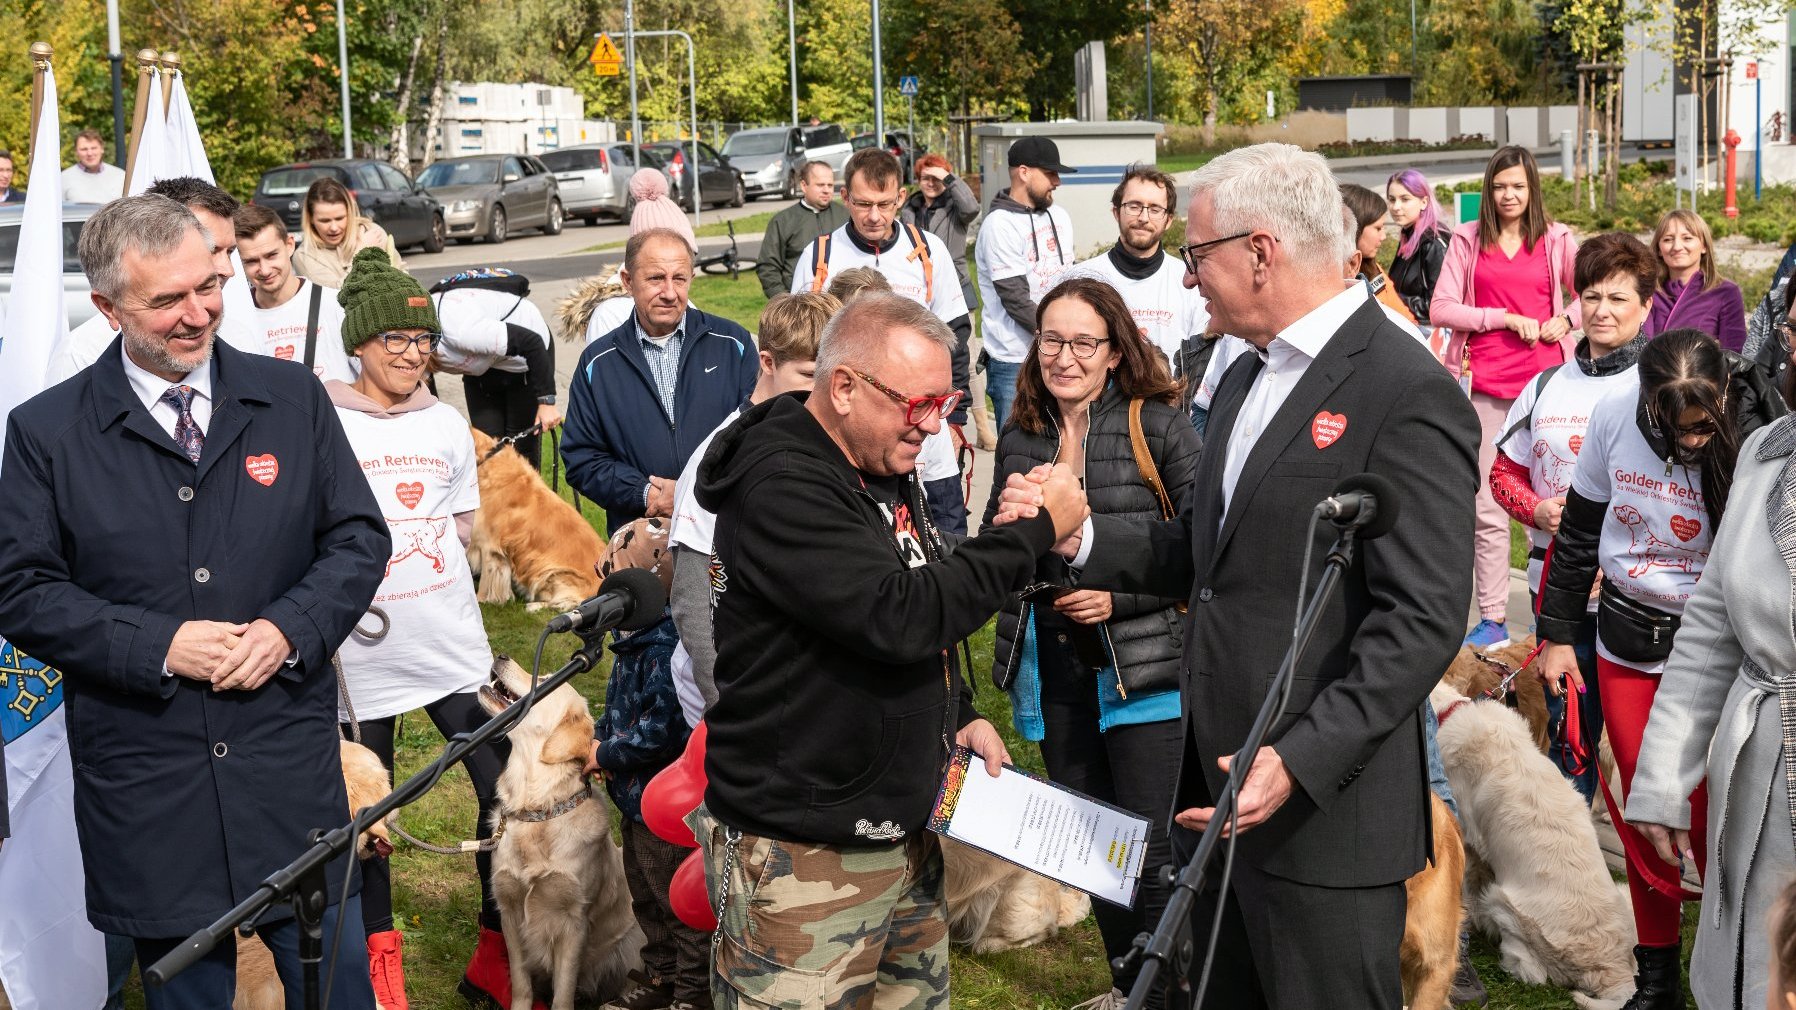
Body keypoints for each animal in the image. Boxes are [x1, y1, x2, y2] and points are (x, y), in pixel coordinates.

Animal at [477, 654, 646, 1006]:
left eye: (545, 680)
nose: (501, 656)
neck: (539, 809)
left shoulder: (574, 923)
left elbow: (563, 993)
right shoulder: (509, 911)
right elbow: (521, 983)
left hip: (634, 942)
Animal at [1429, 675, 1645, 1006]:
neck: (1449, 712)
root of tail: (1613, 968)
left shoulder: (1468, 842)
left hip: (1504, 905)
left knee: (1533, 973)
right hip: (1628, 900)